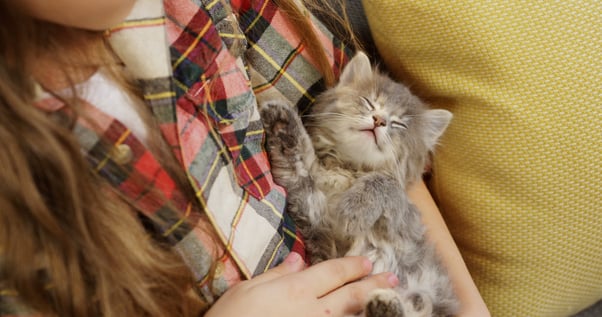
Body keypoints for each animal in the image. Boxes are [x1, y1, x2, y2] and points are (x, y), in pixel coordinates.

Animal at [260, 50, 458, 314]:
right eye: (368, 102)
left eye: (399, 124)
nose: (379, 120)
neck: (349, 170)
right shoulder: (318, 222)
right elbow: (299, 166)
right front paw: (283, 126)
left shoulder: (406, 225)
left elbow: (384, 182)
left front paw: (356, 208)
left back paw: (386, 307)